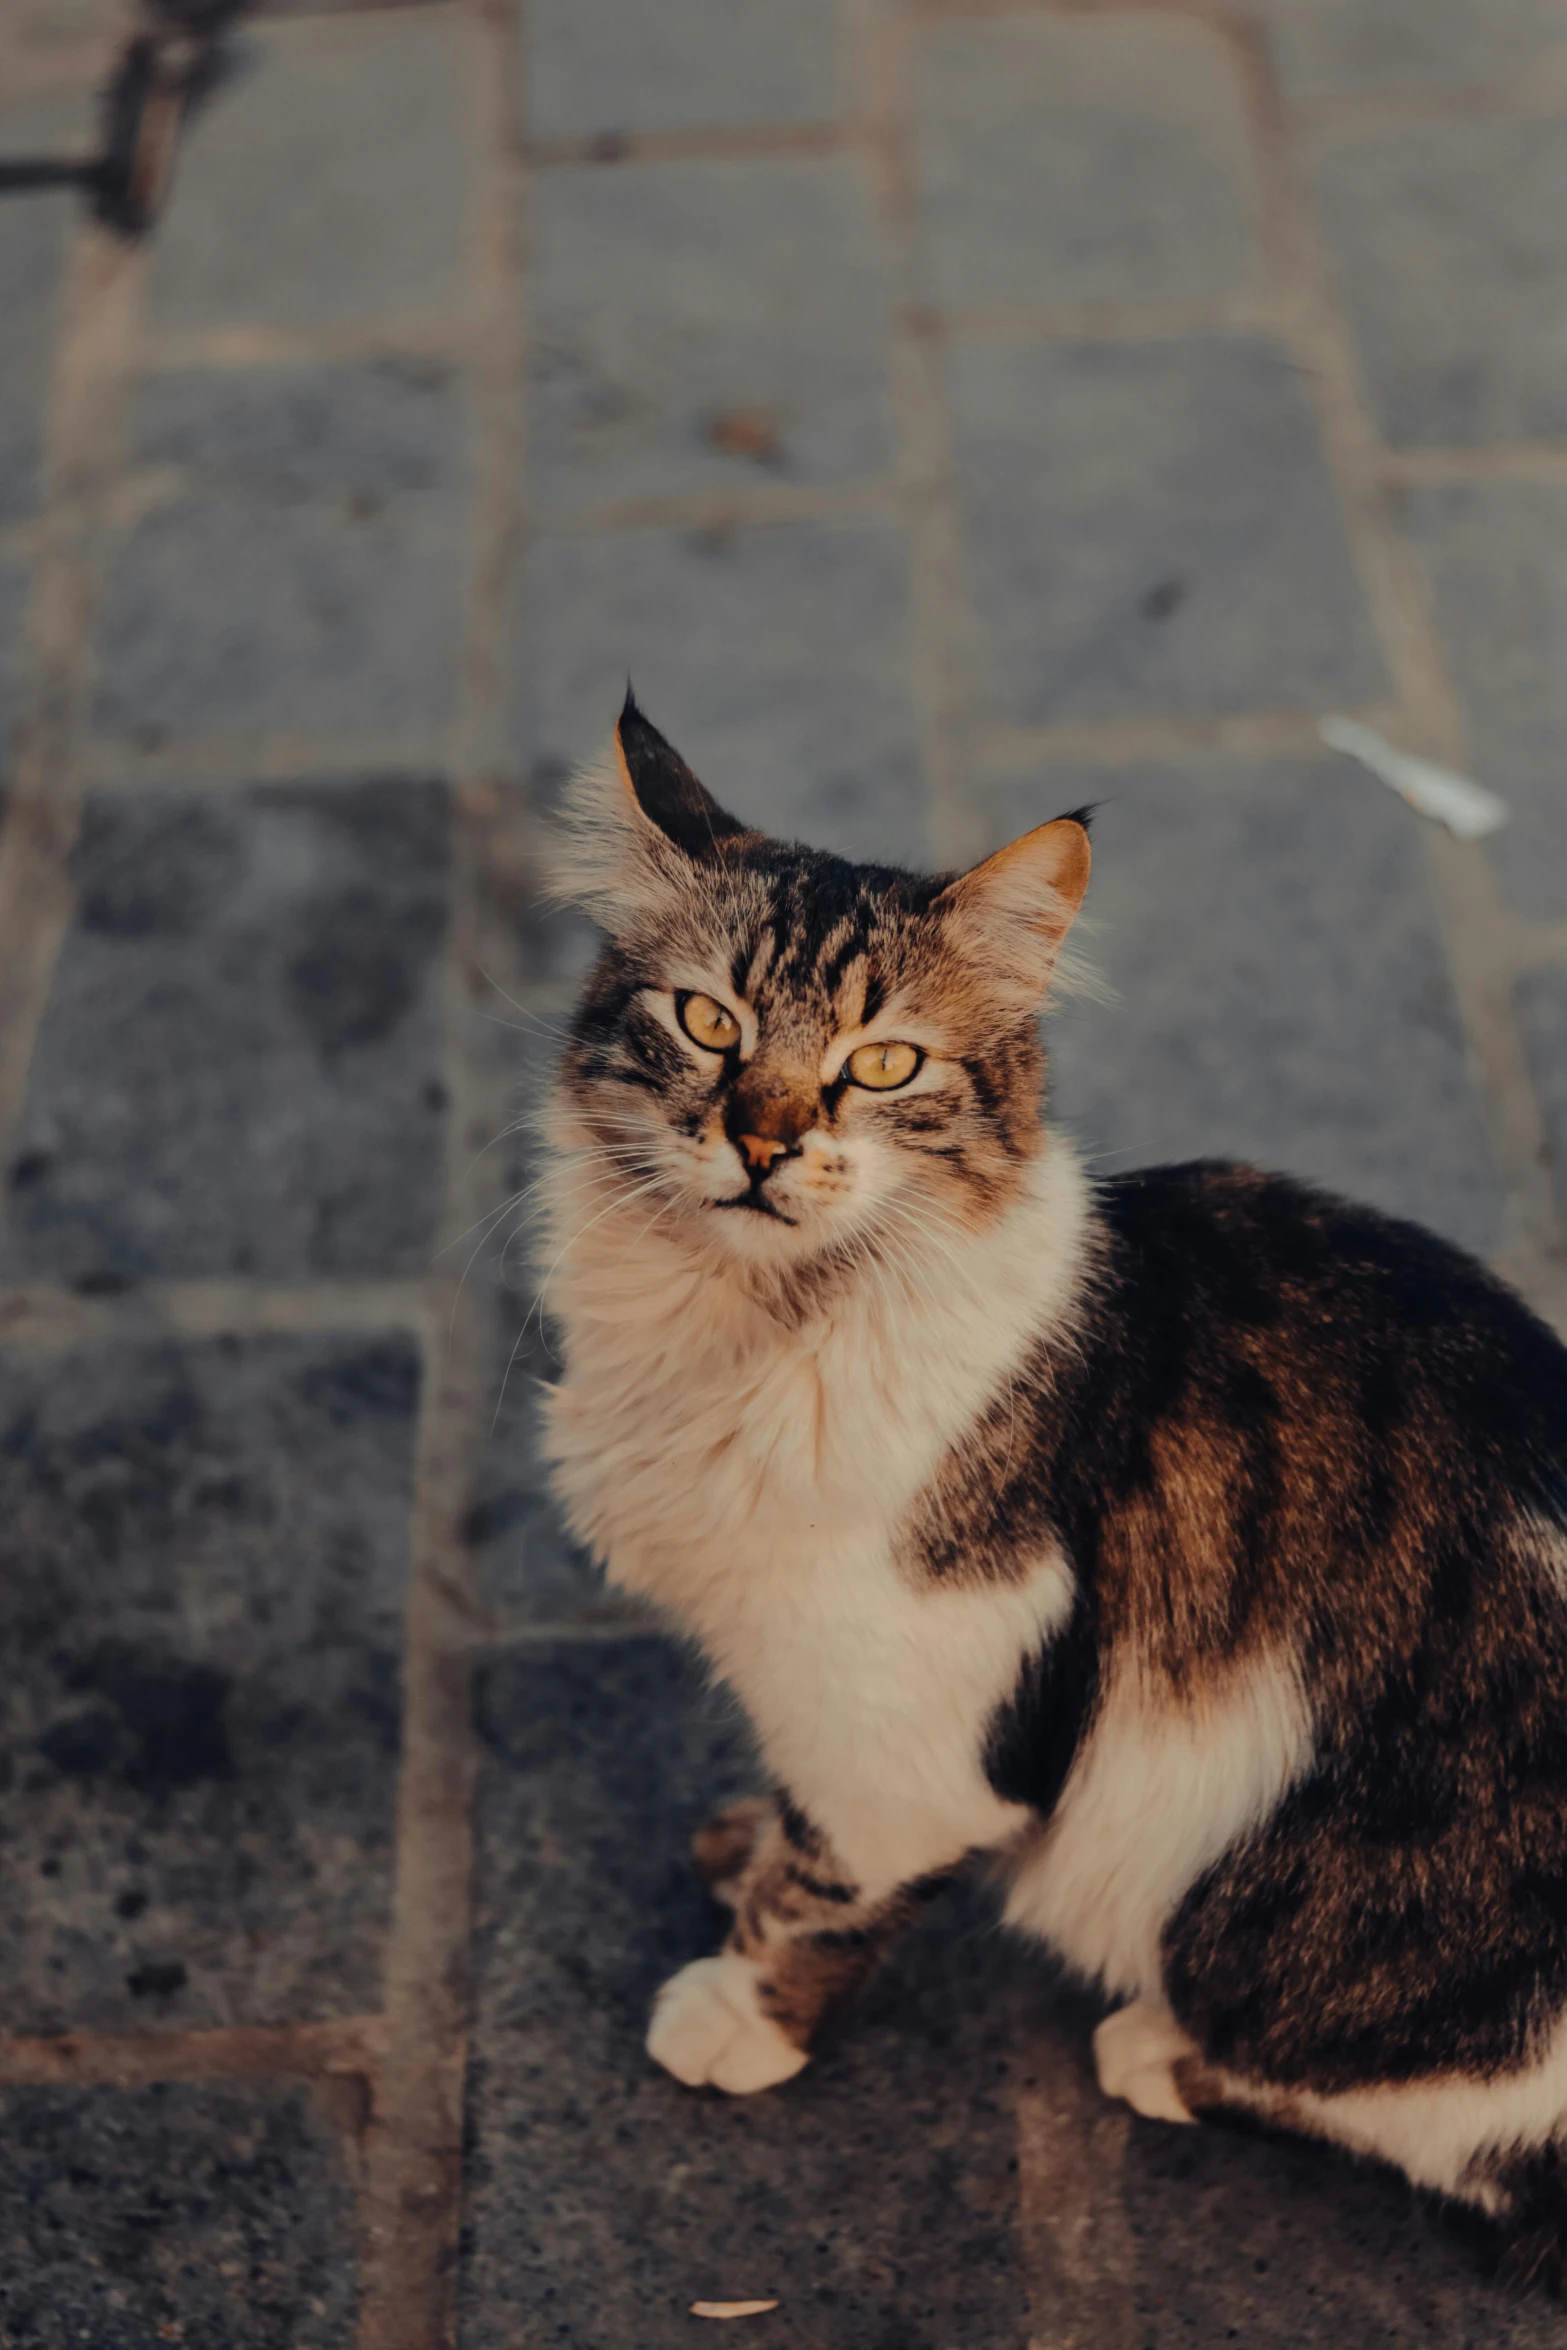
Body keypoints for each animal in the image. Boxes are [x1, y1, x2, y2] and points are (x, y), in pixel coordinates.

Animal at [535, 686, 1567, 2284]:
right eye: (708, 1022)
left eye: (882, 1064)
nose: (762, 1138)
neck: (742, 1329)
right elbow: (793, 1820)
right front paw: (741, 1838)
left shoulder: (917, 1719)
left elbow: (825, 1892)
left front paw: (737, 2010)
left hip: (1272, 1921)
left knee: (1432, 2126)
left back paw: (1154, 2050)